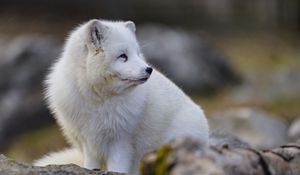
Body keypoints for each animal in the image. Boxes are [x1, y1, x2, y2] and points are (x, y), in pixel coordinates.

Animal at [34, 18, 209, 174]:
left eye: (137, 53)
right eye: (123, 56)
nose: (149, 69)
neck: (98, 99)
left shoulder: (121, 141)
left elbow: (118, 168)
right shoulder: (88, 141)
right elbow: (90, 165)